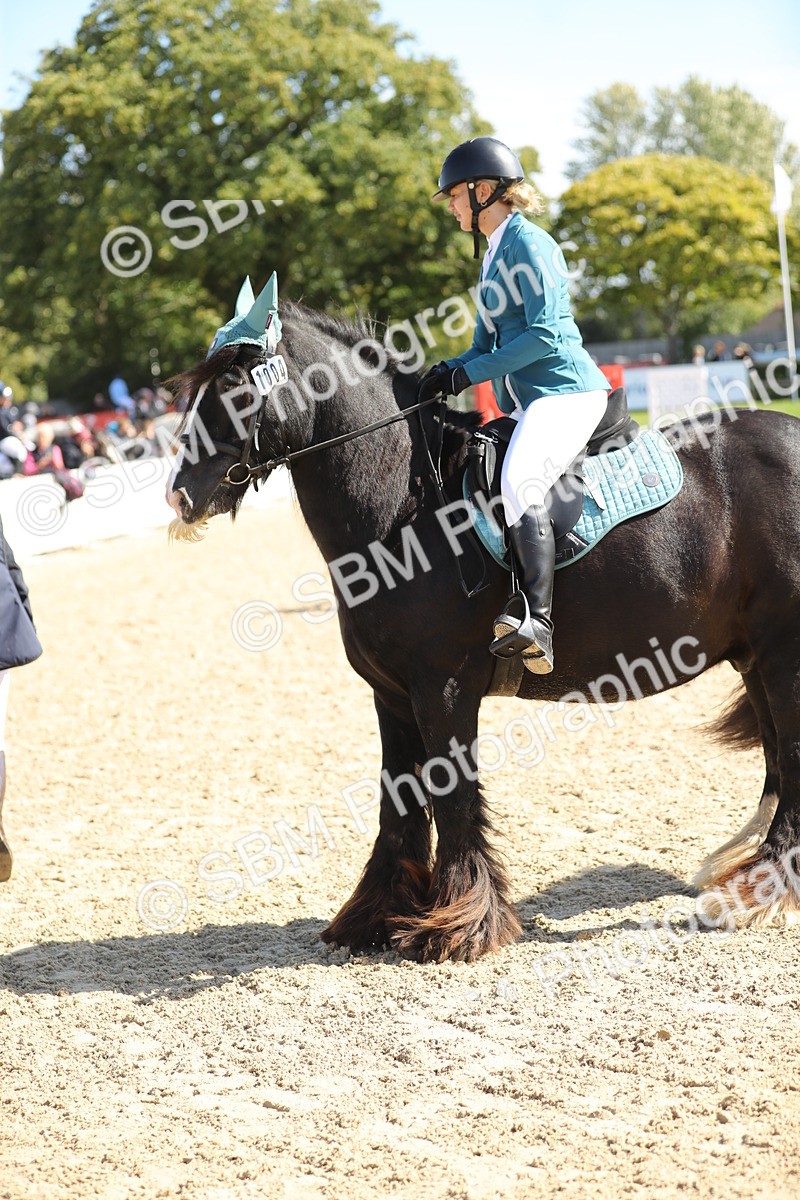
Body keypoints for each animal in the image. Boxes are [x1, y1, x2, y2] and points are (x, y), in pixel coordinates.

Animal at [165, 298, 800, 962]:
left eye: (235, 390)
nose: (179, 498)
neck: (404, 505)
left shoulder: (443, 687)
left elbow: (454, 798)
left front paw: (462, 924)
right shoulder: (391, 693)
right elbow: (398, 803)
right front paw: (375, 917)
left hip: (783, 653)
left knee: (792, 760)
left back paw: (760, 891)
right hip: (754, 656)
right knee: (776, 760)